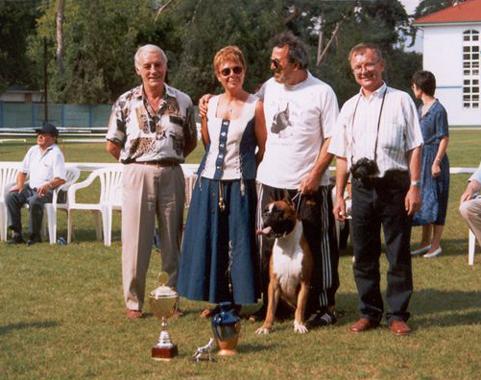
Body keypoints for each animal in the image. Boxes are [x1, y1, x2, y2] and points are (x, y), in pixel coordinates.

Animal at [255, 197, 312, 334]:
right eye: (265, 210)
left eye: (278, 211)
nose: (265, 215)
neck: (286, 243)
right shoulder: (273, 284)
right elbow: (270, 309)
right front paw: (265, 327)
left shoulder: (304, 283)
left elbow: (300, 307)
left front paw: (299, 324)